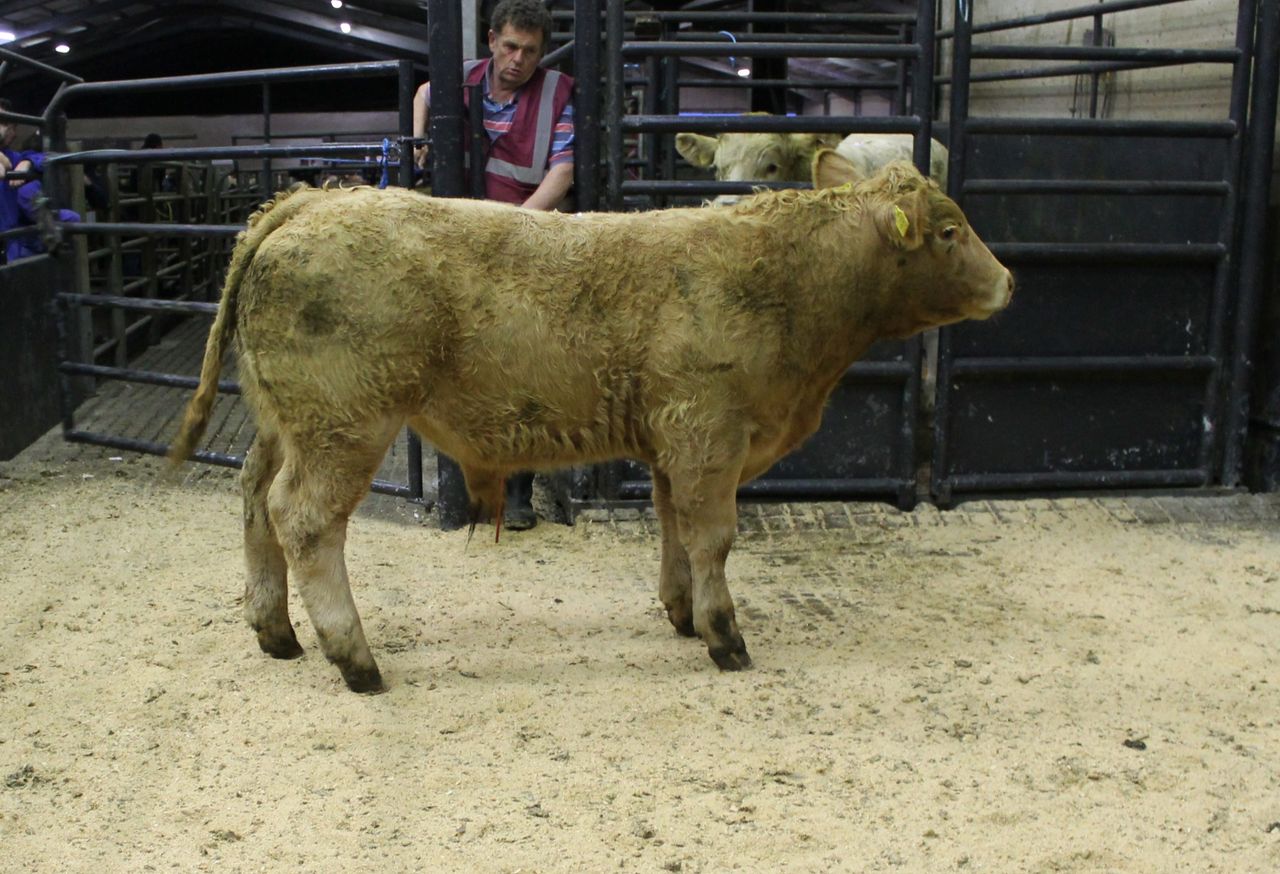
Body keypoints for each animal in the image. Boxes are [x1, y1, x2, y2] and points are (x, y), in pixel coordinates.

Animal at [168, 153, 1013, 693]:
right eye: (948, 231)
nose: (1007, 280)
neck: (788, 281)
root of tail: (317, 198)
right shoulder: (709, 434)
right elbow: (713, 537)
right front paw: (725, 635)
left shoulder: (674, 446)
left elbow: (675, 529)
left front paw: (681, 613)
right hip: (346, 423)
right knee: (304, 519)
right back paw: (355, 658)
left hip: (285, 422)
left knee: (254, 499)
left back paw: (276, 632)